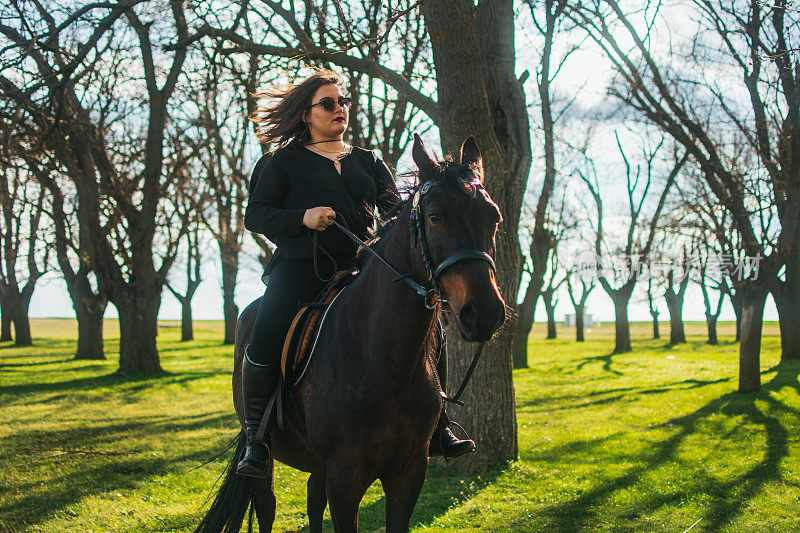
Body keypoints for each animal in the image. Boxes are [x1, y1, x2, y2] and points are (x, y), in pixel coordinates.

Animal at [195, 134, 506, 532]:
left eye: (493, 217)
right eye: (435, 216)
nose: (485, 313)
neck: (382, 359)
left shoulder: (410, 472)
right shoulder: (345, 478)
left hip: (319, 466)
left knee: (313, 499)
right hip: (268, 455)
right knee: (266, 504)